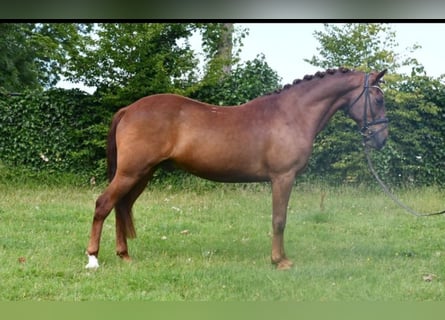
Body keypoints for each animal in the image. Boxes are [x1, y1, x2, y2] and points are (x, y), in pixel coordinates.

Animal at [85, 67, 386, 270]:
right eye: (379, 100)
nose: (381, 139)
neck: (292, 114)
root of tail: (128, 109)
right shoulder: (283, 178)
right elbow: (279, 220)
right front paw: (279, 261)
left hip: (142, 175)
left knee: (122, 206)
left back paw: (124, 255)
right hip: (131, 173)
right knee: (103, 204)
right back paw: (92, 258)